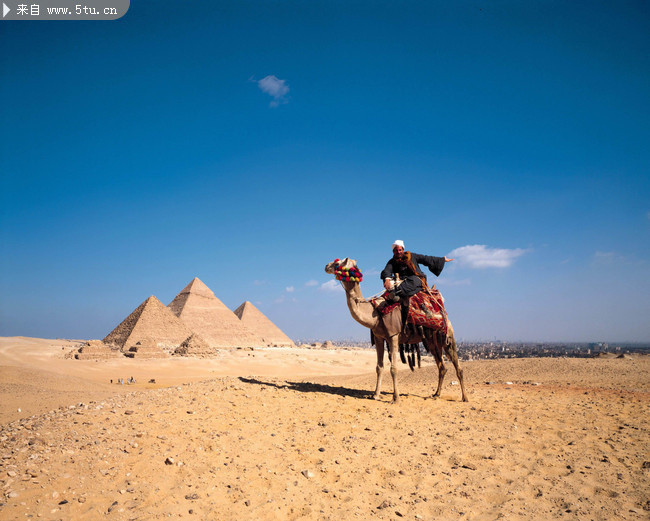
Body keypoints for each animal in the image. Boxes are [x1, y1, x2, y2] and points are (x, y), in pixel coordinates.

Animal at [324, 256, 466, 402]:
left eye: (337, 263)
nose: (326, 266)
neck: (376, 312)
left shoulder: (393, 336)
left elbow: (394, 368)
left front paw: (396, 398)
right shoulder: (378, 337)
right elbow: (379, 367)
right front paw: (375, 395)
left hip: (447, 335)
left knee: (457, 366)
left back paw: (464, 397)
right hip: (431, 341)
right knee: (442, 367)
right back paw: (436, 394)